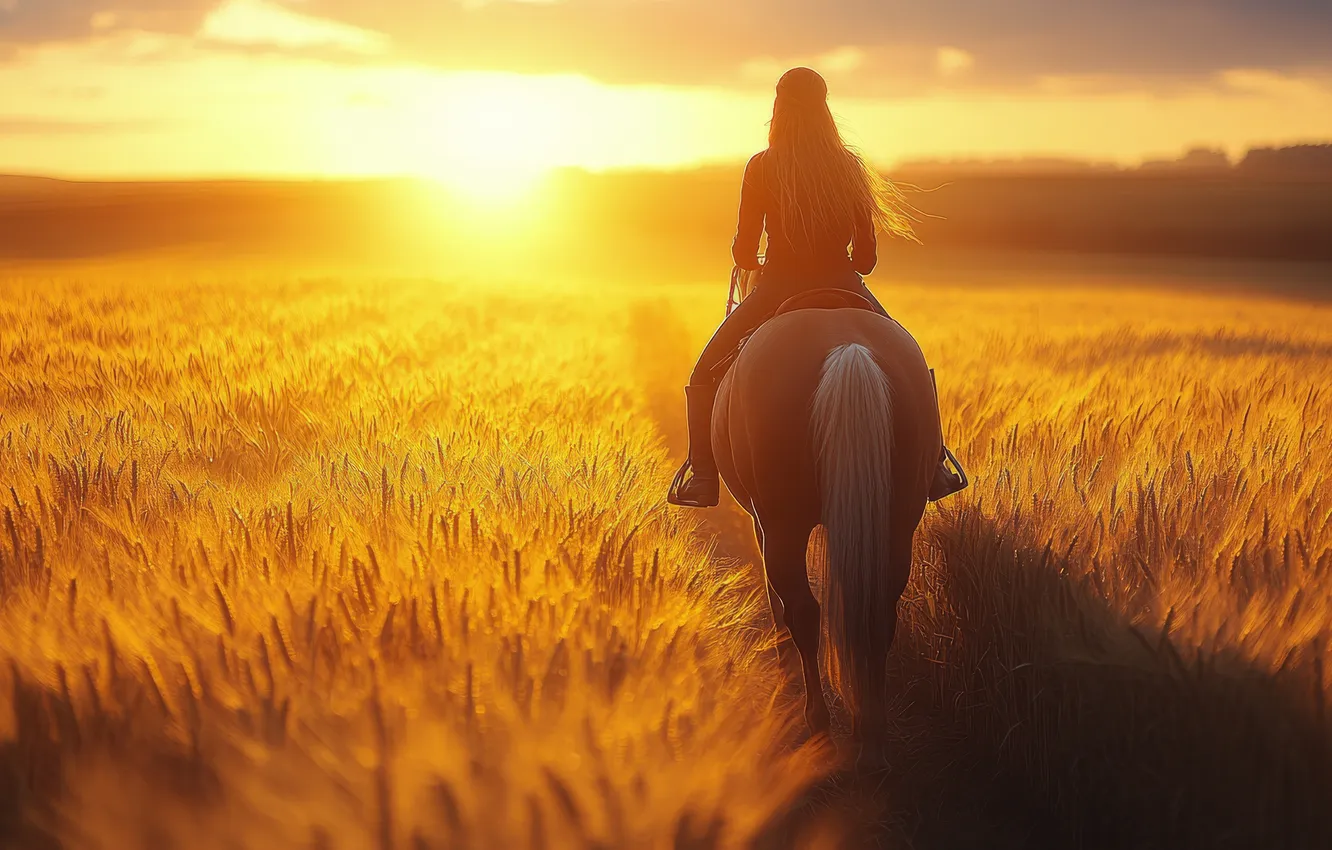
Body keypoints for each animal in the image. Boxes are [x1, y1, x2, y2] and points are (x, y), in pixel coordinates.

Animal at [712, 296, 941, 737]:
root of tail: (848, 349)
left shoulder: (763, 522)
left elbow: (778, 600)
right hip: (898, 522)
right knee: (878, 610)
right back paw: (870, 721)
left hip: (784, 525)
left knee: (803, 611)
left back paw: (815, 717)